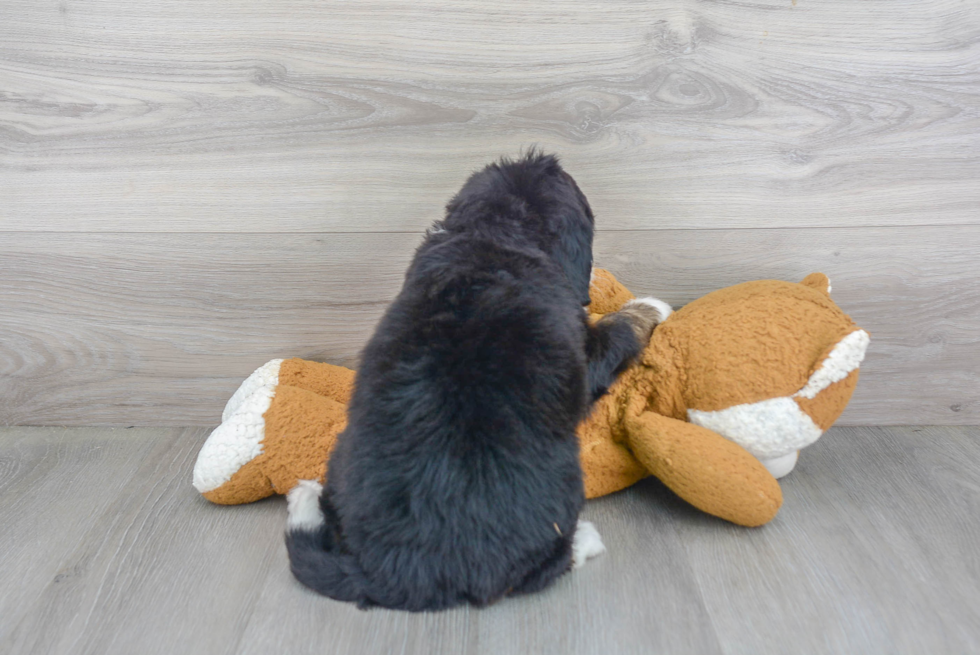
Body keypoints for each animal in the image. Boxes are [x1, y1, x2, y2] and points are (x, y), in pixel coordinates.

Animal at [284, 152, 668, 608]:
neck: (493, 238)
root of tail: (399, 573)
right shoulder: (583, 354)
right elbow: (616, 330)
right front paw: (651, 308)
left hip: (342, 454)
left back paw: (305, 502)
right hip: (563, 483)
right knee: (535, 572)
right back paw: (584, 541)